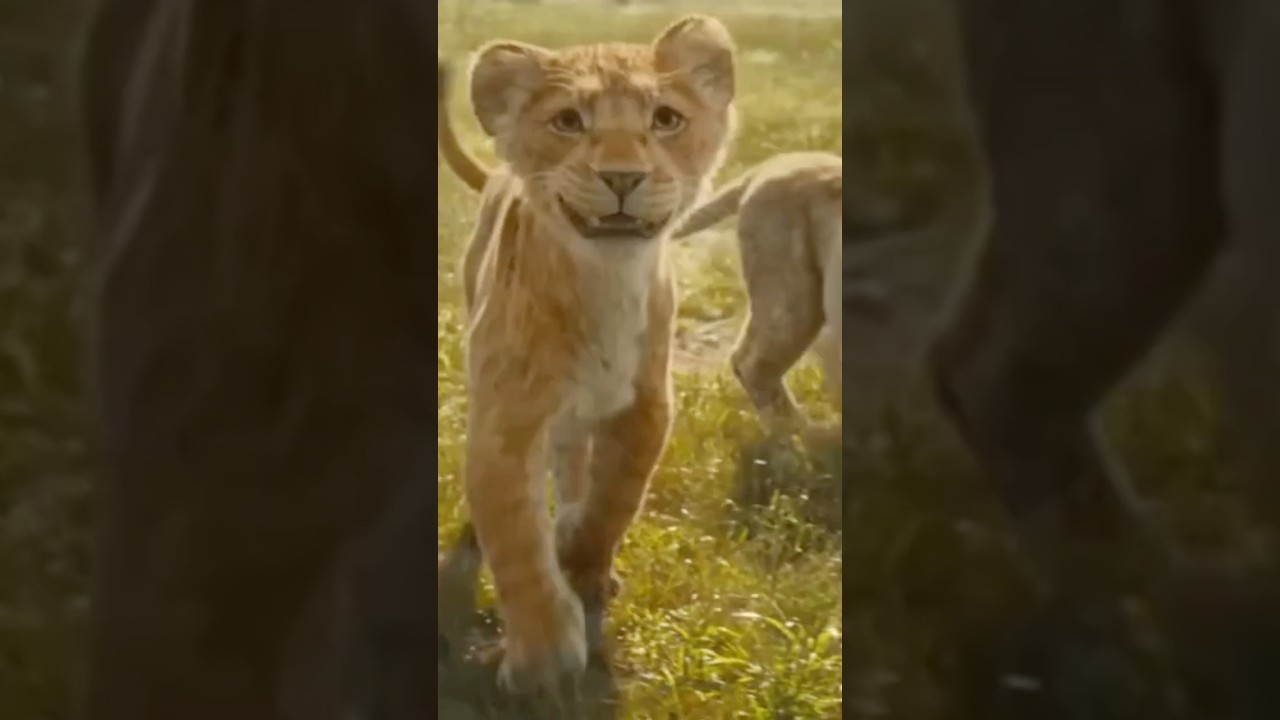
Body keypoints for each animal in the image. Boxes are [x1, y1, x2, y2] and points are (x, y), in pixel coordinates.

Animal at [436, 15, 737, 697]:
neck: (606, 283)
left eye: (665, 119)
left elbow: (614, 500)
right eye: (569, 121)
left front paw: (584, 569)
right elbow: (516, 537)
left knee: (575, 460)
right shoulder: (506, 416)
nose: (622, 177)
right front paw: (543, 658)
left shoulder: (646, 407)